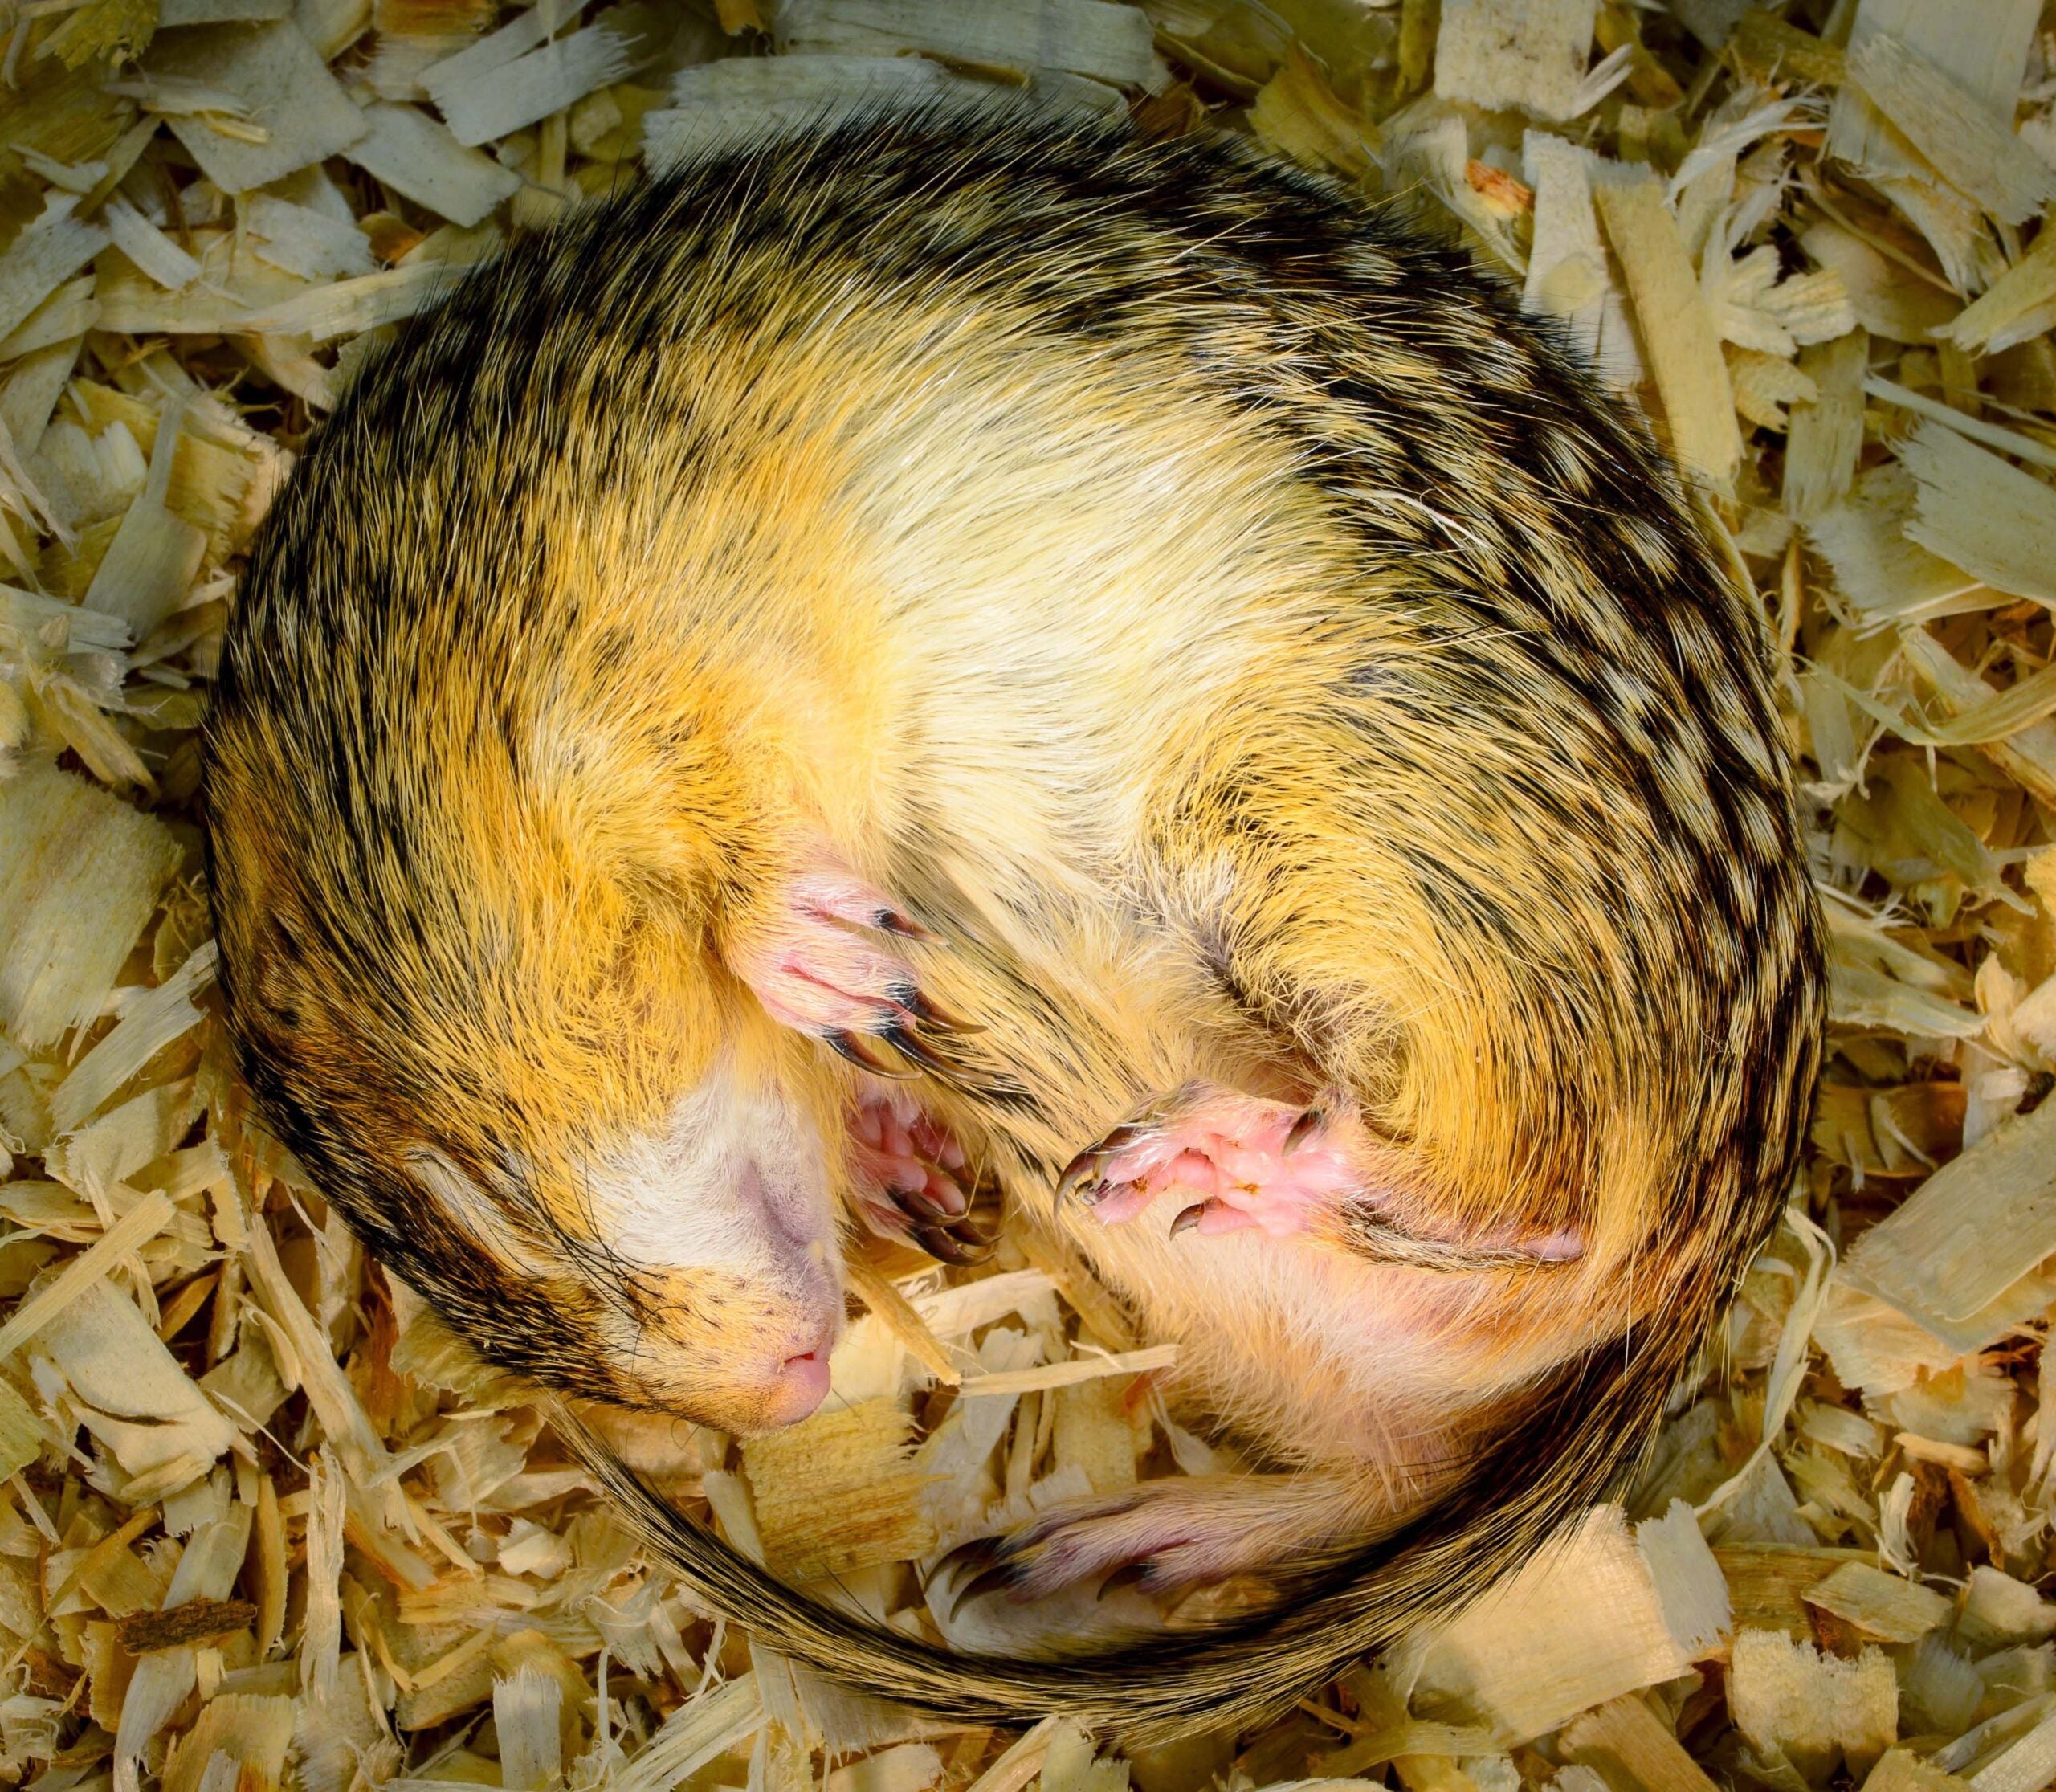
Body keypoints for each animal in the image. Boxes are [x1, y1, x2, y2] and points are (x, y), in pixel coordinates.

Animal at [203, 102, 1824, 1741]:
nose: (785, 1394)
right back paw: (1102, 1543)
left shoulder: (667, 673)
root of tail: (1713, 1258)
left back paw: (1227, 1149)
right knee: (1408, 1451)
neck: (439, 676)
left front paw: (826, 962)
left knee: (1536, 1192)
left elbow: (748, 858)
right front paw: (888, 1129)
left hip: (1348, 869)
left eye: (475, 1186)